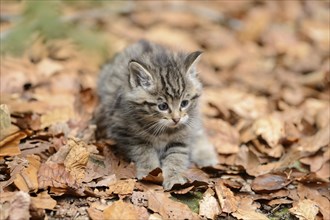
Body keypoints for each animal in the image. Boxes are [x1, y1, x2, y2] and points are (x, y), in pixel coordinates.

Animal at [94, 40, 218, 189]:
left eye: (184, 103)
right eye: (162, 106)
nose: (176, 119)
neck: (163, 131)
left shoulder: (182, 135)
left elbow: (177, 155)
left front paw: (174, 177)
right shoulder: (126, 132)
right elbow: (144, 152)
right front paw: (150, 172)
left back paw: (205, 155)